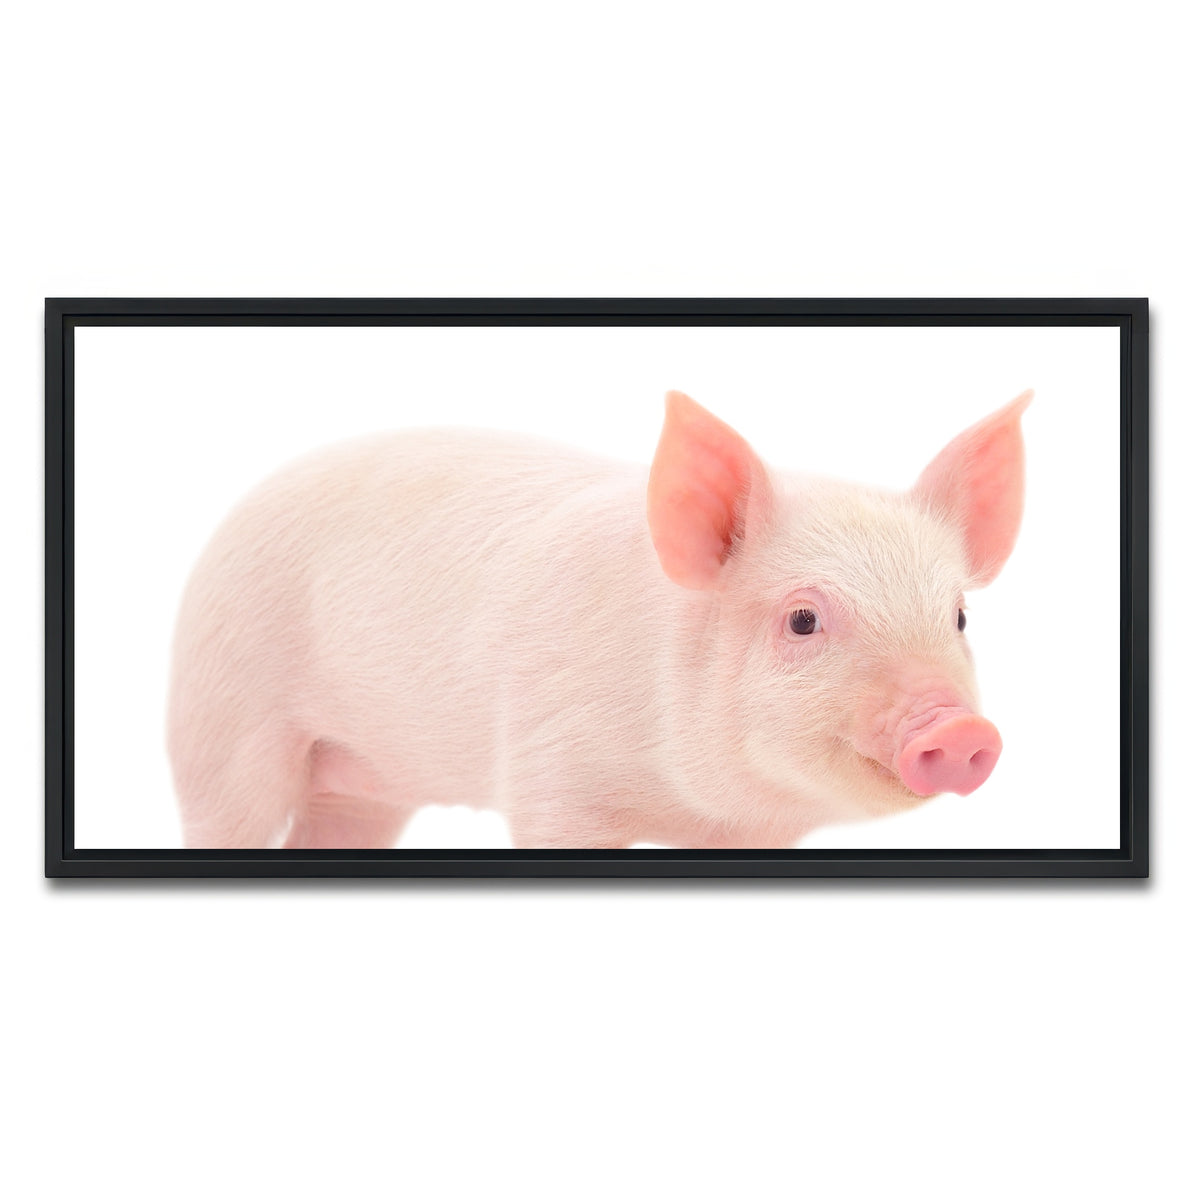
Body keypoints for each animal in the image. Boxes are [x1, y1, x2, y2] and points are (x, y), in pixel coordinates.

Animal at [167, 388, 1031, 850]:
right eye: (803, 620)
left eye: (957, 617)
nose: (960, 730)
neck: (689, 806)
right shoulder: (549, 773)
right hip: (221, 717)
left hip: (365, 783)